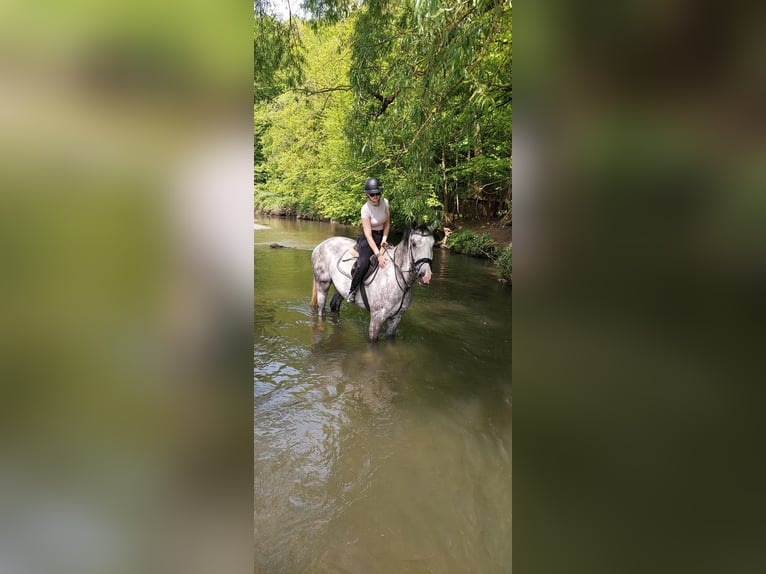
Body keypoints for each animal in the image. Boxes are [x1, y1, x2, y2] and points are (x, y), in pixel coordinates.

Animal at [308, 226, 436, 342]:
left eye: (432, 244)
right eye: (413, 244)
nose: (425, 276)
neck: (397, 278)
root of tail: (321, 245)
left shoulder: (396, 319)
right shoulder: (377, 317)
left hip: (340, 290)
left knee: (334, 306)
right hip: (322, 284)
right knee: (321, 310)